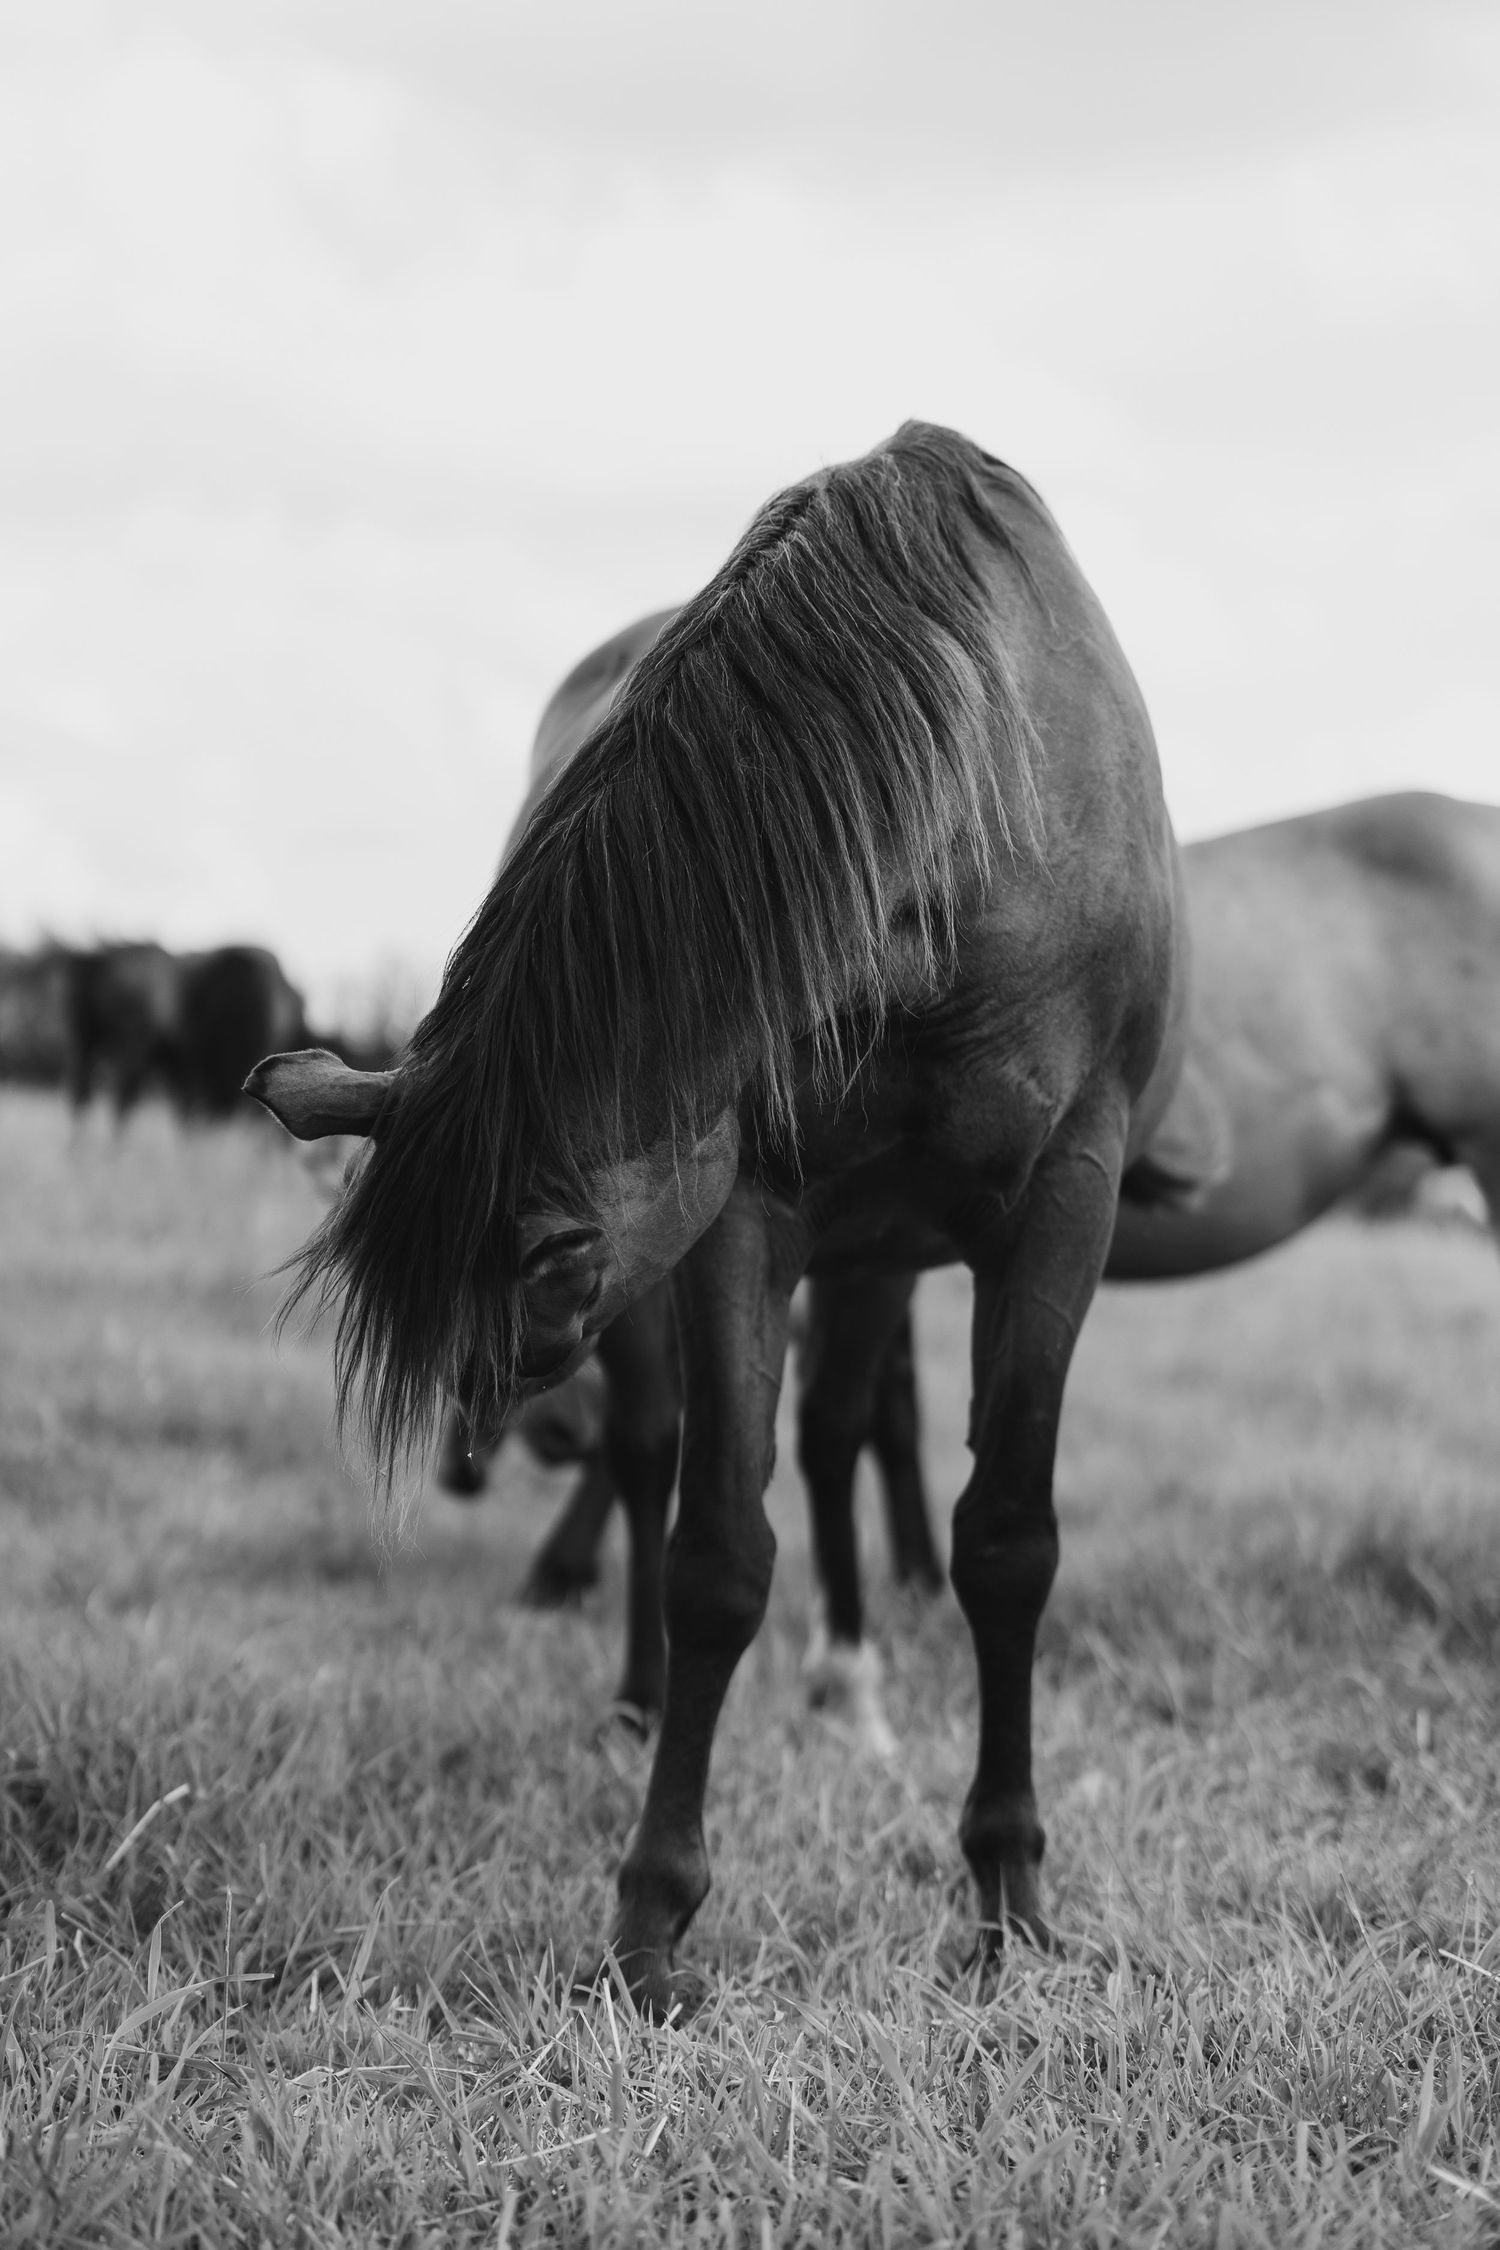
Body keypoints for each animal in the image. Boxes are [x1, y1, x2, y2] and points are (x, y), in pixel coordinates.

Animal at [249, 422, 1210, 2014]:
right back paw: (647, 1695)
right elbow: (714, 1553)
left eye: (554, 1259)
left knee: (842, 1433)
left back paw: (853, 1688)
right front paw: (651, 1921)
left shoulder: (1062, 1199)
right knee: (659, 1460)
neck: (978, 838)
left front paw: (1010, 1893)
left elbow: (1006, 1541)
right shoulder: (741, 1212)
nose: (480, 1419)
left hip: (893, 1253)